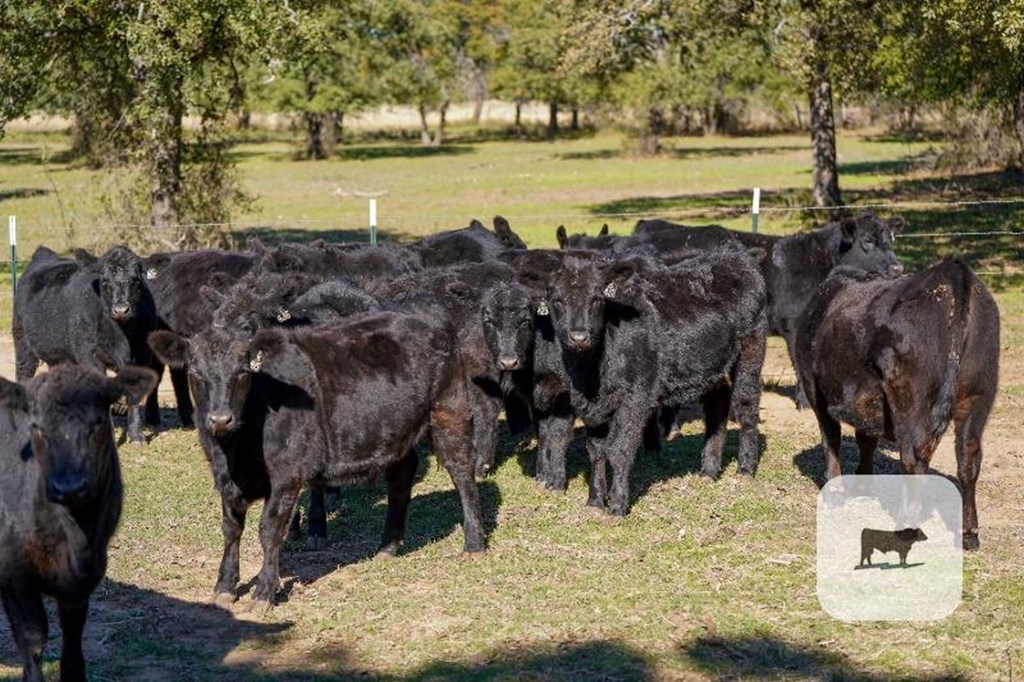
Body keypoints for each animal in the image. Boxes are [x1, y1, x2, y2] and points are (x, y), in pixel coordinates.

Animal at [0, 366, 157, 679]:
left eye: (97, 424)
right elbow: (33, 638)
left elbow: (73, 642)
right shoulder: (13, 571)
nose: (69, 487)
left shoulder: (85, 577)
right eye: (37, 427)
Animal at [13, 244, 157, 440]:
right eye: (104, 283)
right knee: (23, 376)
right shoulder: (90, 356)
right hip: (23, 345)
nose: (121, 310)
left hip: (59, 356)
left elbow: (133, 396)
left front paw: (136, 436)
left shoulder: (142, 357)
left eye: (136, 281)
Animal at [149, 303, 487, 606]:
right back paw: (388, 546)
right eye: (195, 374)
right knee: (402, 476)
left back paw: (474, 543)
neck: (235, 450)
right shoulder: (226, 481)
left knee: (462, 473)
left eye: (243, 373)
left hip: (449, 410)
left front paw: (264, 593)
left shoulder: (287, 474)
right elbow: (231, 530)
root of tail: (429, 315)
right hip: (394, 428)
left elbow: (269, 530)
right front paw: (224, 586)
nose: (220, 419)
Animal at [548, 246, 765, 512]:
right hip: (712, 361)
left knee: (746, 403)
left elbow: (619, 449)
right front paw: (595, 501)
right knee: (718, 403)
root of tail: (734, 254)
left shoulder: (636, 396)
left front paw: (618, 505)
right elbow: (596, 451)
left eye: (597, 300)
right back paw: (709, 471)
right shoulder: (592, 405)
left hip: (751, 349)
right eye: (557, 300)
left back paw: (745, 469)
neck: (588, 373)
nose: (579, 337)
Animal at [790, 258, 999, 548]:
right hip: (979, 393)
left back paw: (906, 527)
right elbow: (865, 438)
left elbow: (830, 439)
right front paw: (863, 481)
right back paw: (969, 534)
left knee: (913, 456)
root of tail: (953, 271)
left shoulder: (813, 386)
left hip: (910, 398)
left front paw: (834, 491)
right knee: (968, 457)